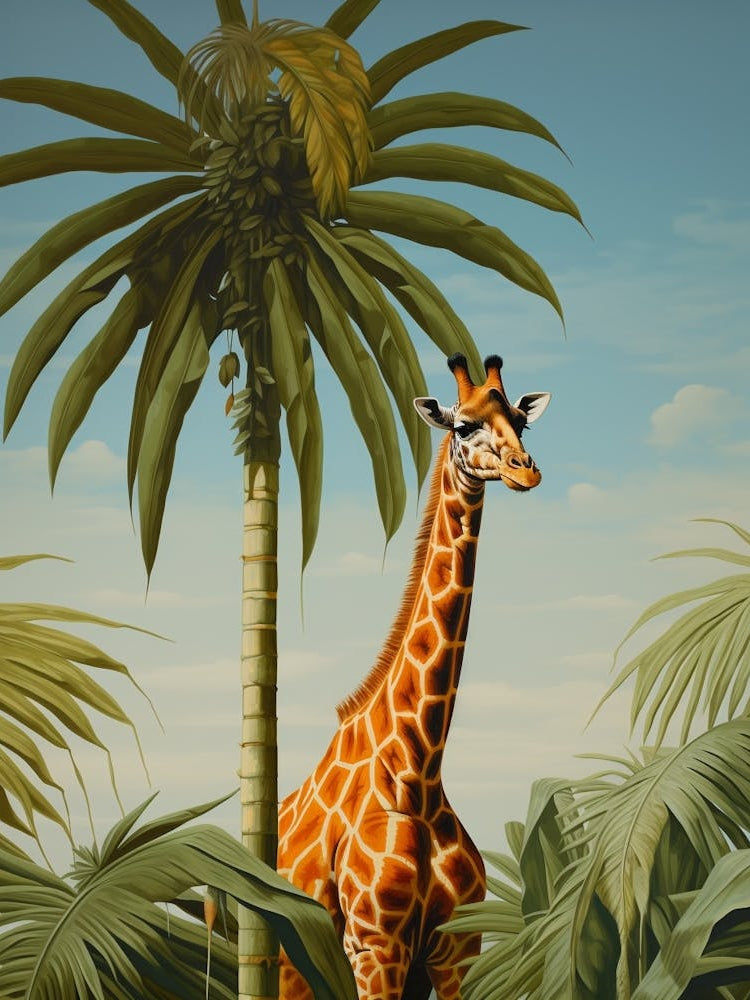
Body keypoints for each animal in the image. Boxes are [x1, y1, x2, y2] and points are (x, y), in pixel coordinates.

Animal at [278, 353, 551, 999]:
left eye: (521, 424)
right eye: (464, 426)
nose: (526, 472)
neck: (419, 771)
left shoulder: (455, 950)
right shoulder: (375, 946)